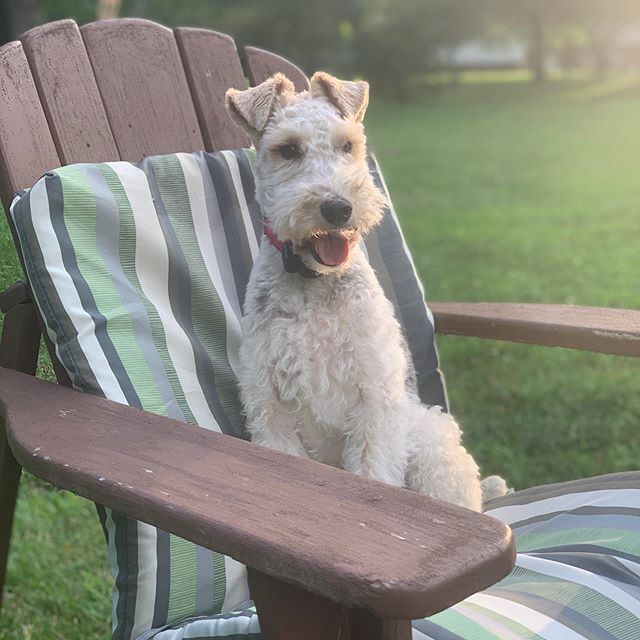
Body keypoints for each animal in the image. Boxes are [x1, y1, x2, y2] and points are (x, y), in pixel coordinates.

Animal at [225, 71, 504, 510]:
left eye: (348, 145)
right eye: (288, 149)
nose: (338, 208)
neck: (315, 281)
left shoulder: (373, 394)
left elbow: (373, 468)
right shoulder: (270, 403)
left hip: (430, 449)